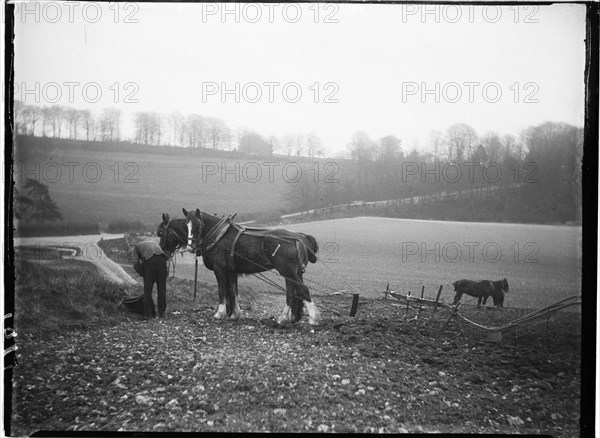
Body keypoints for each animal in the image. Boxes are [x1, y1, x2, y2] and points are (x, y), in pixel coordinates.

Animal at [183, 209, 322, 326]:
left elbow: (222, 290)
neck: (220, 236)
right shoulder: (231, 271)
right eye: (186, 226)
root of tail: (299, 238)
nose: (190, 247)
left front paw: (219, 313)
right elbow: (233, 291)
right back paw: (284, 318)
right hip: (293, 272)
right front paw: (235, 314)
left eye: (198, 225)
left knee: (302, 289)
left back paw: (313, 318)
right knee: (292, 292)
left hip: (287, 271)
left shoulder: (220, 269)